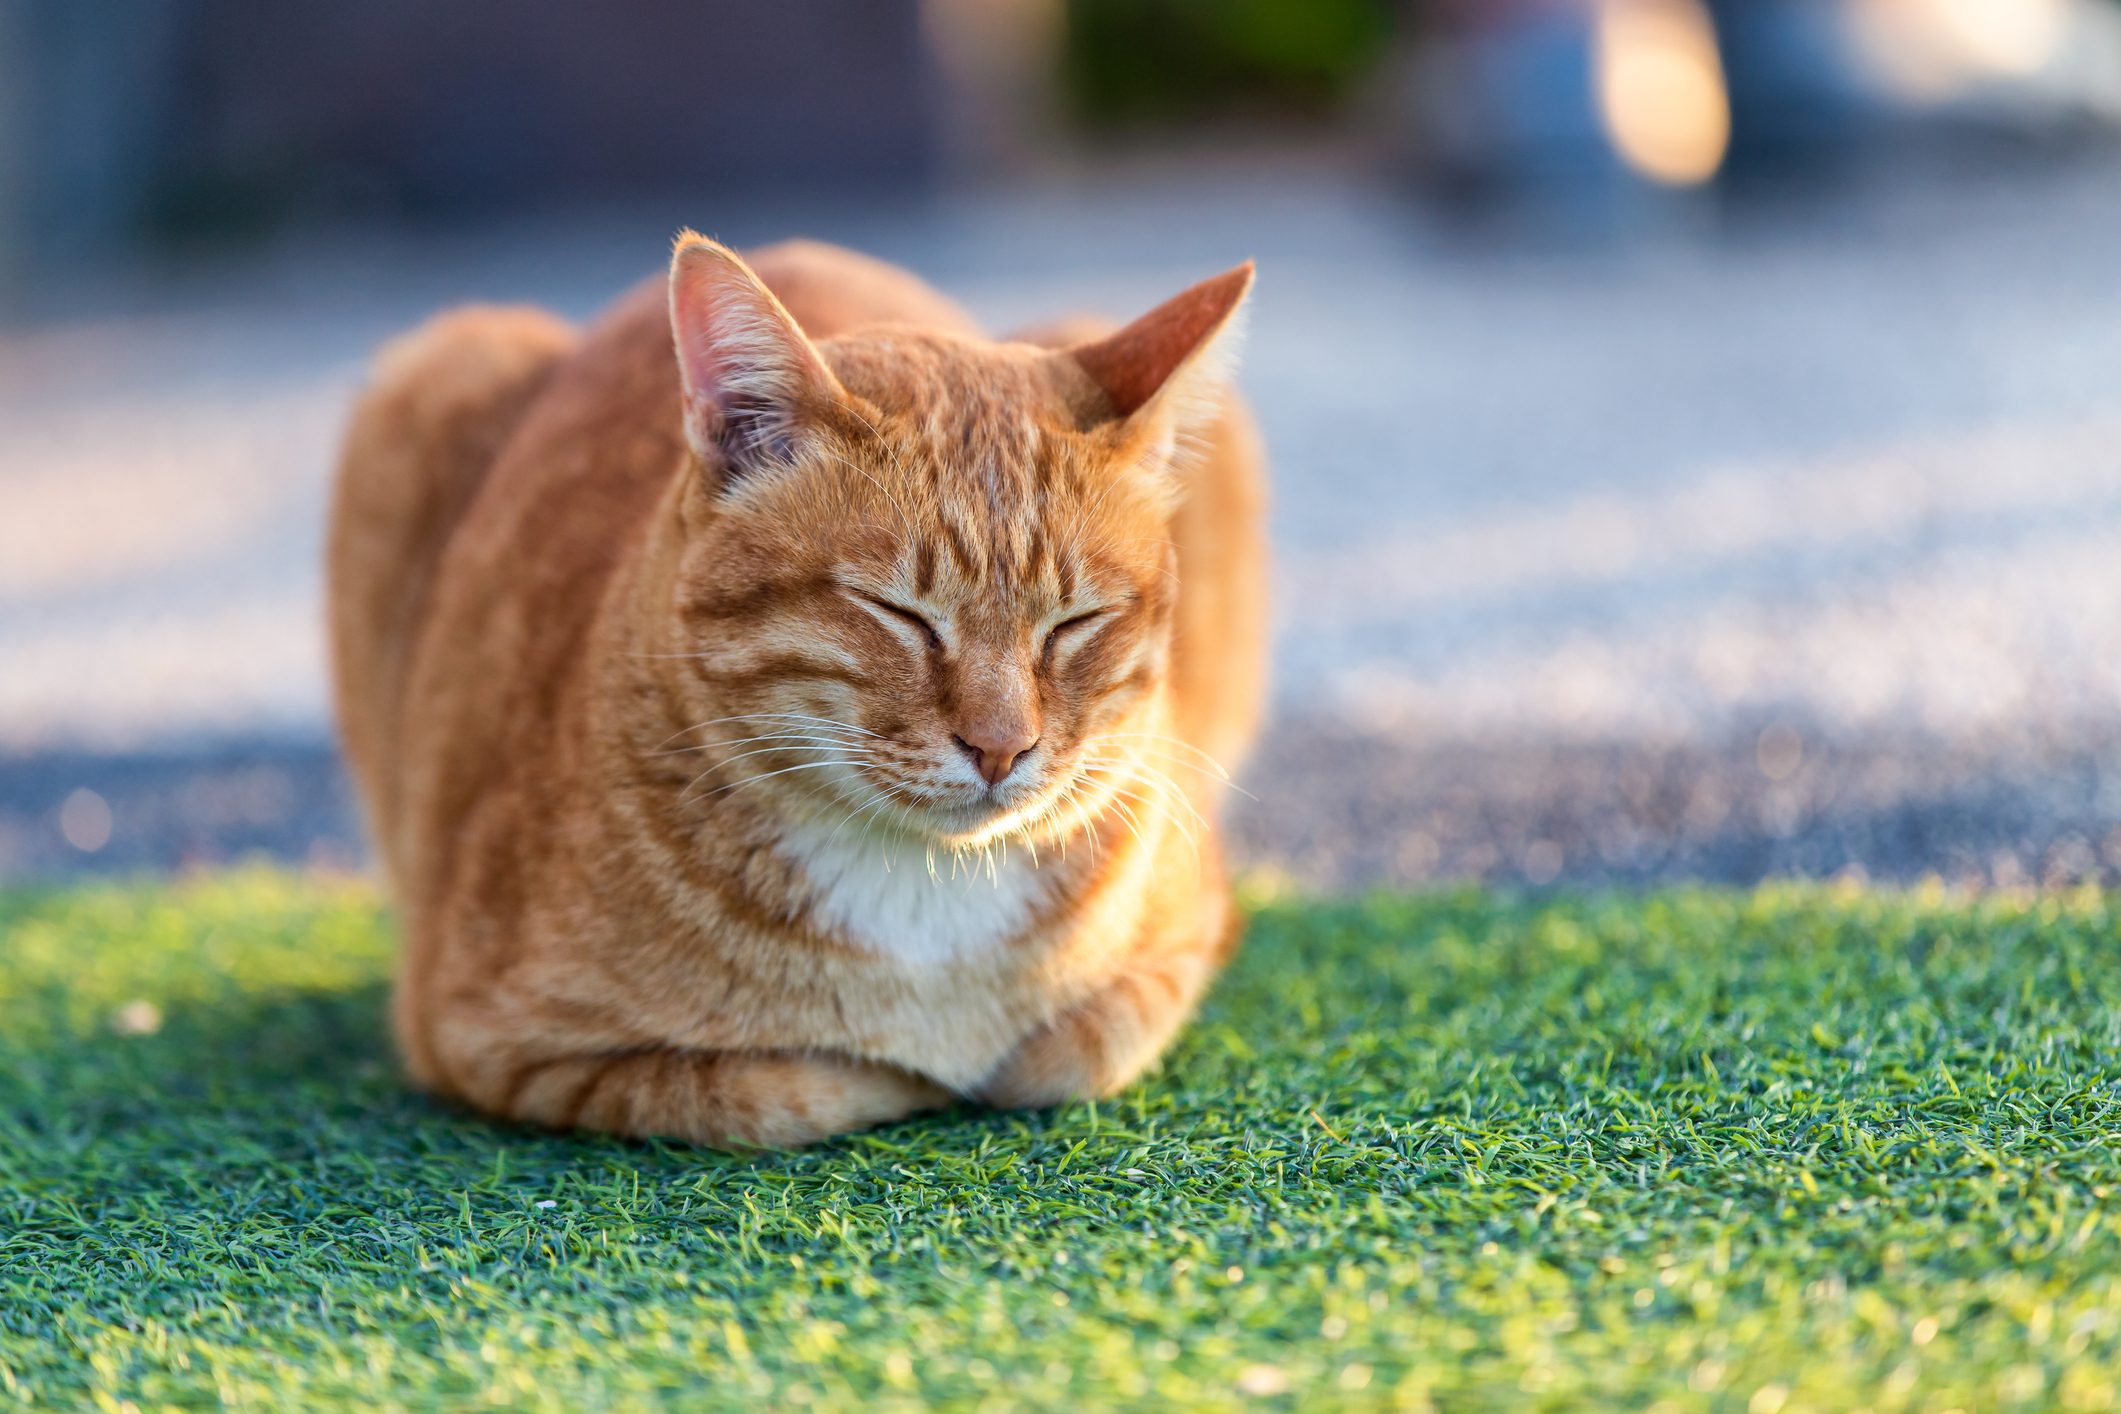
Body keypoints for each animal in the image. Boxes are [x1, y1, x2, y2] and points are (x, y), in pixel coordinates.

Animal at [324, 230, 1264, 1136]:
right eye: (898, 613)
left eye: (1074, 622)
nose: (1001, 748)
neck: (926, 894)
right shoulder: (496, 1044)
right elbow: (793, 1088)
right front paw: (907, 1072)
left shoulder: (1182, 948)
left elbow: (1073, 1052)